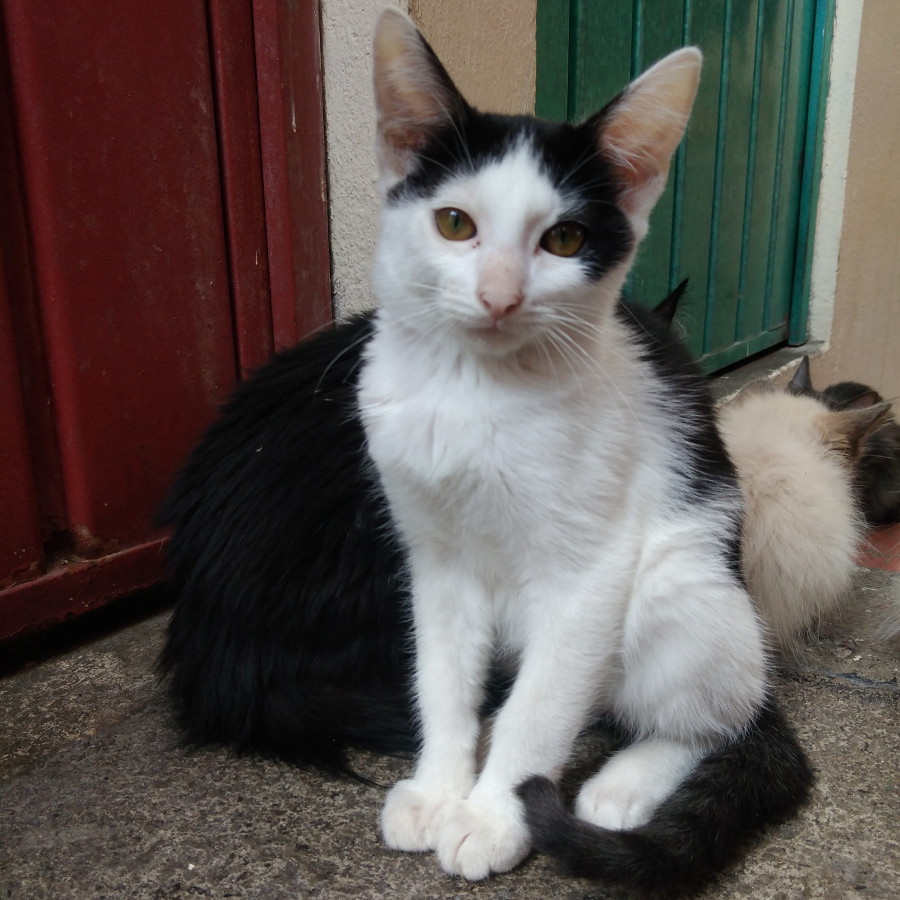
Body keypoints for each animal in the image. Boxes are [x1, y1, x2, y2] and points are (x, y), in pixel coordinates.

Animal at [158, 10, 812, 896]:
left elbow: (540, 709)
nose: (500, 296)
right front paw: (441, 789)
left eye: (564, 239)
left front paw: (494, 817)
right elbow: (439, 676)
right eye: (454, 224)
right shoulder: (432, 558)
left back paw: (622, 784)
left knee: (721, 710)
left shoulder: (590, 571)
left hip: (682, 582)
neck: (471, 391)